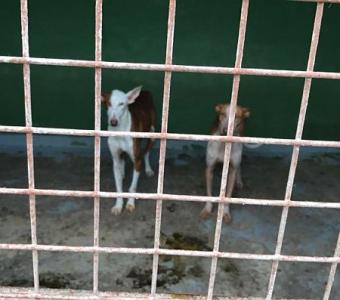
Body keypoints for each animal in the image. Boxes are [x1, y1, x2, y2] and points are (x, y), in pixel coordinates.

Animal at [101, 85, 156, 214]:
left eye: (122, 104)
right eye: (108, 103)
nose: (113, 122)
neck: (120, 130)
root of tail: (144, 92)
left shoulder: (137, 161)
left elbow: (132, 187)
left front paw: (130, 203)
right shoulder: (115, 160)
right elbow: (118, 187)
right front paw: (118, 205)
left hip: (152, 134)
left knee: (146, 153)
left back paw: (148, 169)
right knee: (123, 158)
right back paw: (122, 172)